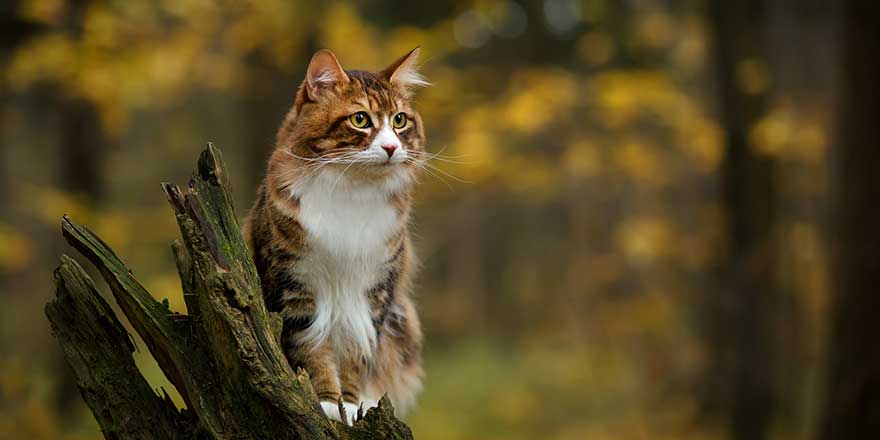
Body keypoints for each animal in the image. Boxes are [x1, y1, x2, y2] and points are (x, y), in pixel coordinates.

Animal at [242, 46, 428, 424]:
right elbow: (311, 350)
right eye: (360, 119)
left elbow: (357, 354)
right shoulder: (296, 286)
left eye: (399, 121)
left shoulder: (372, 293)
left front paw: (353, 404)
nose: (391, 147)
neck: (353, 189)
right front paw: (328, 402)